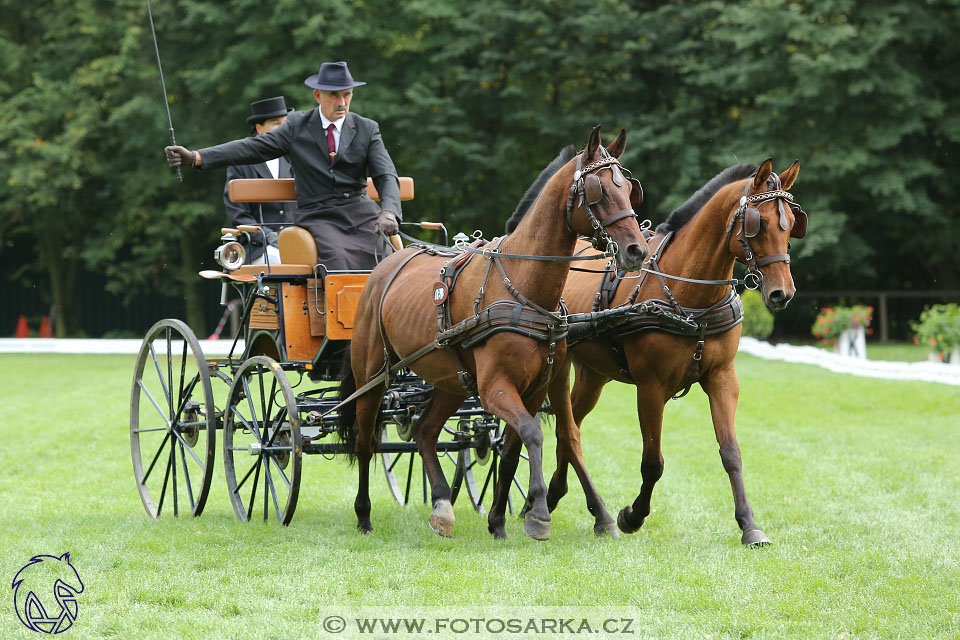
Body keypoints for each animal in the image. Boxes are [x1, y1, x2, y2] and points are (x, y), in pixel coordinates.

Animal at [342, 126, 648, 540]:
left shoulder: (535, 388)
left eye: (629, 189)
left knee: (425, 431)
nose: (636, 250)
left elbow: (521, 447)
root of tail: (384, 266)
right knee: (364, 440)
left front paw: (500, 520)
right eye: (598, 189)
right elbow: (532, 435)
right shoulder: (495, 388)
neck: (523, 286)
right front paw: (538, 515)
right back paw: (364, 514)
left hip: (451, 380)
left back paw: (442, 506)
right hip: (372, 375)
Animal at [496, 159, 804, 544]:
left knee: (571, 429)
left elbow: (731, 453)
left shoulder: (722, 378)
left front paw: (749, 525)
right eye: (757, 223)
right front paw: (633, 515)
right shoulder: (651, 387)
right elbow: (653, 462)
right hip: (556, 368)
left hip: (593, 376)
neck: (688, 294)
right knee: (565, 431)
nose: (782, 293)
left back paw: (551, 498)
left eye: (791, 222)